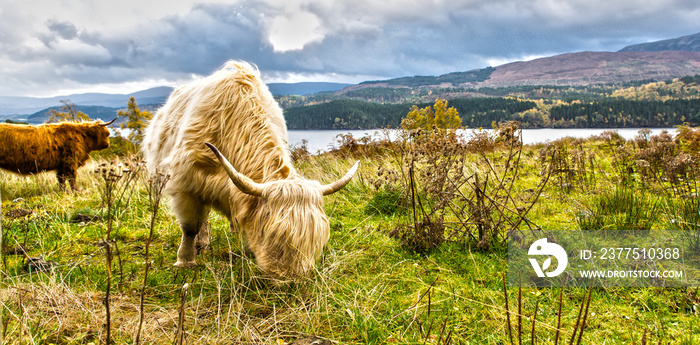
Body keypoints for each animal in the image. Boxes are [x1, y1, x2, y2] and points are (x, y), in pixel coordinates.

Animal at [144, 60, 360, 276]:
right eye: (276, 239)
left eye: (315, 243)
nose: (292, 278)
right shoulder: (185, 184)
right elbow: (190, 226)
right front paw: (185, 261)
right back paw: (201, 245)